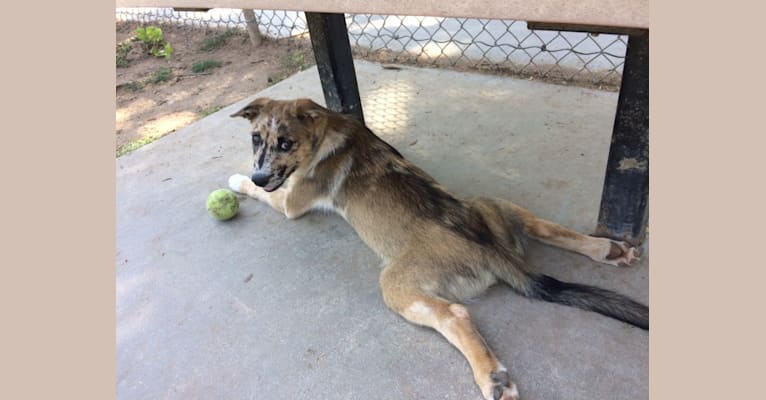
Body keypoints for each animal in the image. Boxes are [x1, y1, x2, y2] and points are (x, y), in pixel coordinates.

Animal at [228, 97, 648, 400]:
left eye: (286, 143)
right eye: (255, 139)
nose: (259, 174)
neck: (328, 130)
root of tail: (491, 248)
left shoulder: (290, 203)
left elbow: (259, 192)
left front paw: (235, 180)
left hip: (396, 284)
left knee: (456, 315)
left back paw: (492, 378)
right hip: (494, 205)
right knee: (546, 227)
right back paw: (609, 249)